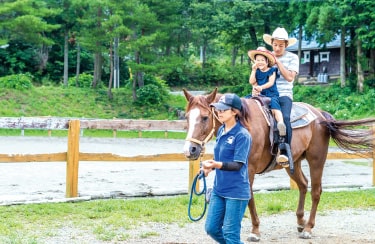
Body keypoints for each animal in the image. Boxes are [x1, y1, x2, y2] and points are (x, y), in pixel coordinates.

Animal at [183, 87, 375, 240]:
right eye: (187, 118)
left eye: (205, 117)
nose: (190, 150)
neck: (245, 123)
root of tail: (321, 115)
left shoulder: (248, 169)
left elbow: (248, 197)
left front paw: (255, 230)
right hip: (293, 163)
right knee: (303, 185)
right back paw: (300, 221)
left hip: (316, 160)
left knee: (316, 191)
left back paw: (308, 228)